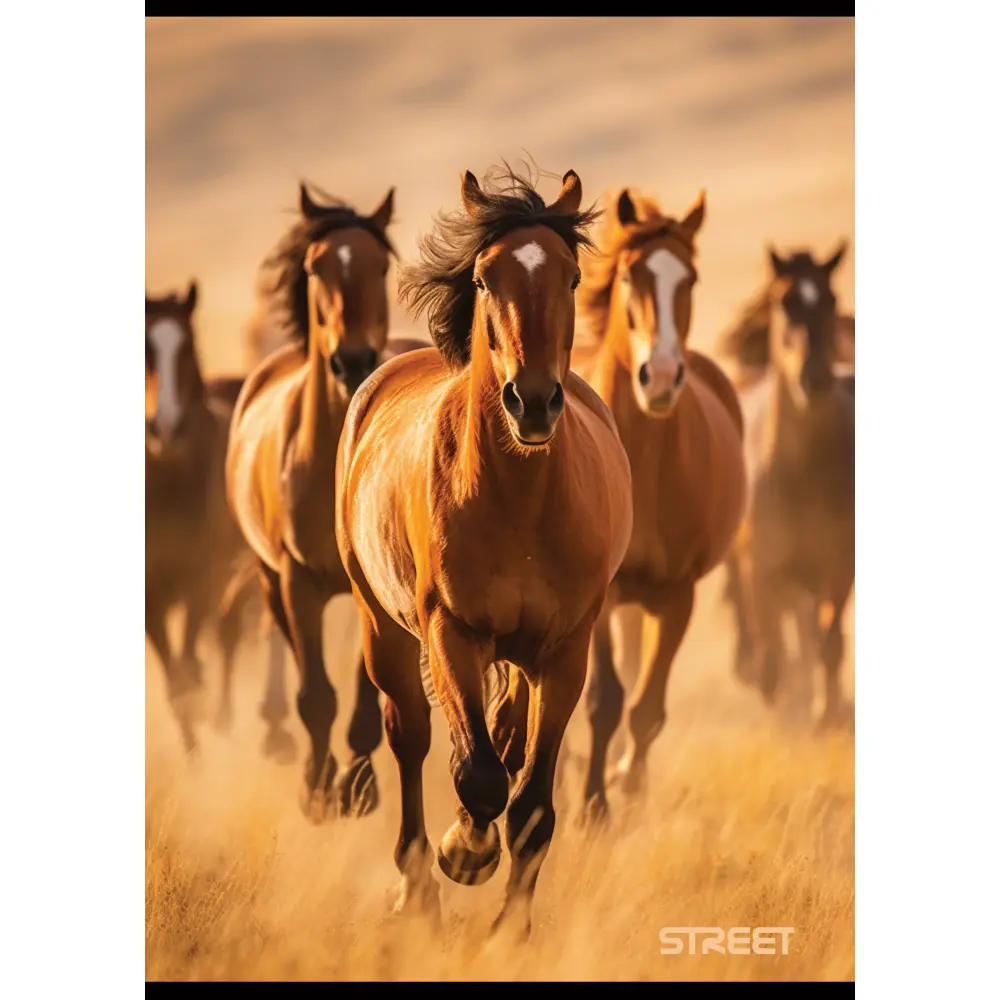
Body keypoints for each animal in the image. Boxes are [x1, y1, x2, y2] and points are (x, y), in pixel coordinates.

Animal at [226, 180, 403, 818]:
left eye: (381, 264)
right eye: (314, 266)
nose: (351, 361)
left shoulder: (371, 589)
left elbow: (364, 694)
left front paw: (360, 785)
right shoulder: (296, 581)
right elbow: (316, 693)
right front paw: (318, 788)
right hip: (268, 578)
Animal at [335, 165, 632, 938]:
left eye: (570, 275)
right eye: (483, 275)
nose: (532, 401)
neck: (520, 499)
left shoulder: (567, 650)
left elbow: (531, 802)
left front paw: (512, 929)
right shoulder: (452, 632)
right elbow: (478, 776)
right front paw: (464, 852)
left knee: (507, 736)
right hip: (383, 630)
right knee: (410, 738)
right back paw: (418, 883)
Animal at [570, 187, 747, 822]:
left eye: (690, 278)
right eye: (630, 275)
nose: (663, 377)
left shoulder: (677, 596)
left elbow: (646, 707)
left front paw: (625, 786)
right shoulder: (596, 599)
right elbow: (604, 699)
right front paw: (592, 806)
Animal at [722, 248, 855, 727]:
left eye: (831, 300)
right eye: (786, 302)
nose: (815, 378)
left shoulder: (838, 565)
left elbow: (829, 644)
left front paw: (824, 714)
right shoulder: (761, 567)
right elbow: (772, 653)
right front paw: (781, 713)